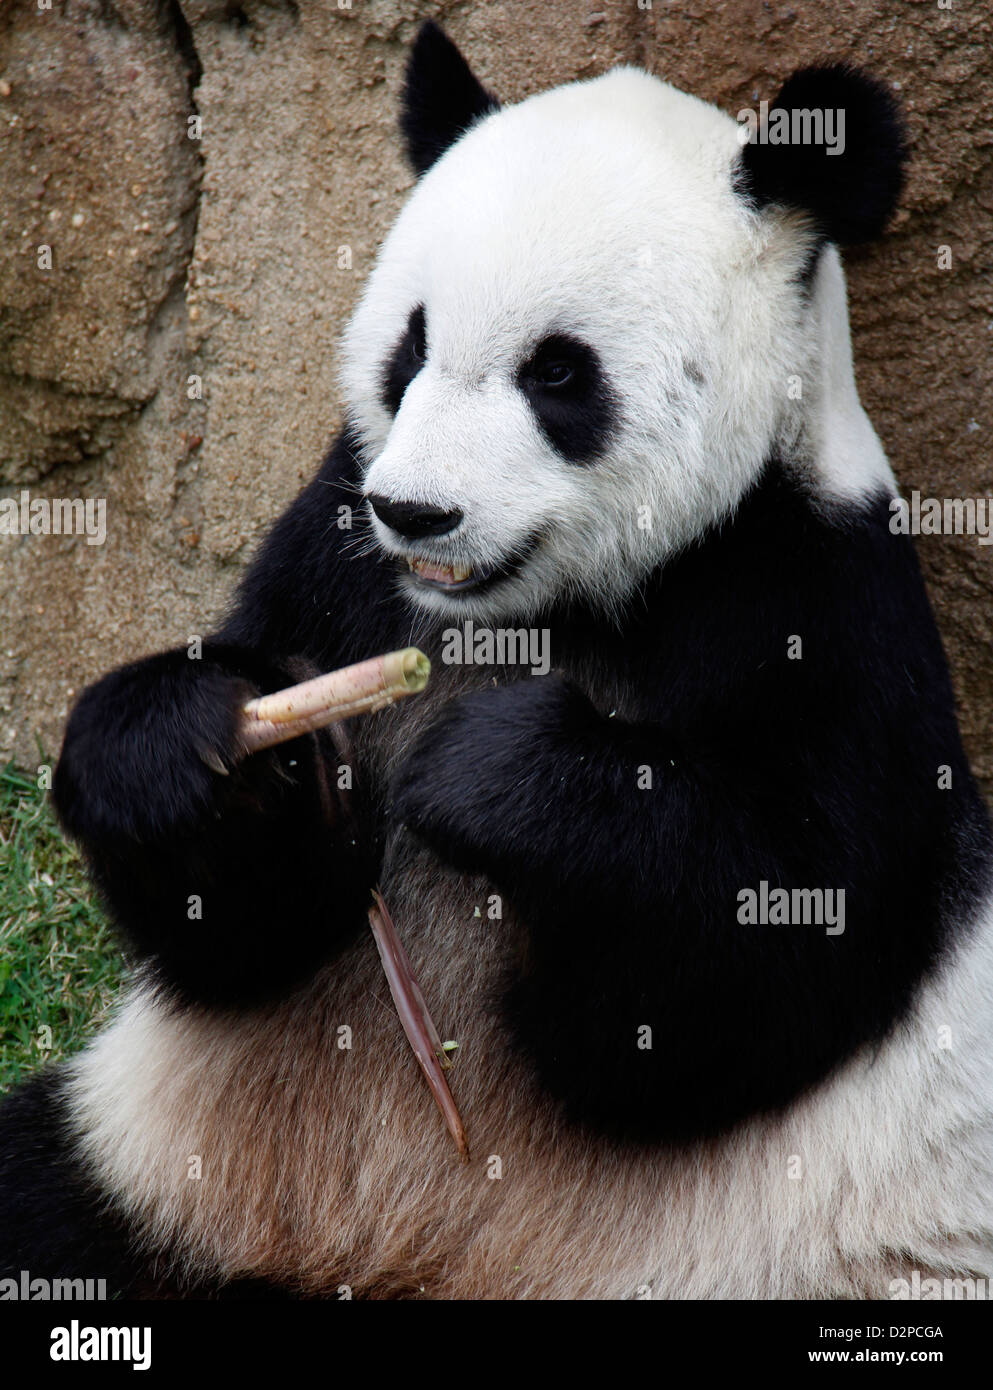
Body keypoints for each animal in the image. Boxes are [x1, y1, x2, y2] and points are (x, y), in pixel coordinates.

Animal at [1, 21, 990, 1301]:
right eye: (410, 346)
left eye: (559, 373)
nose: (416, 512)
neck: (534, 608)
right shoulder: (343, 558)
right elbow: (259, 930)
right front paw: (180, 747)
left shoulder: (819, 596)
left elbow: (757, 973)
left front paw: (498, 777)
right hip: (175, 1178)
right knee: (44, 1200)